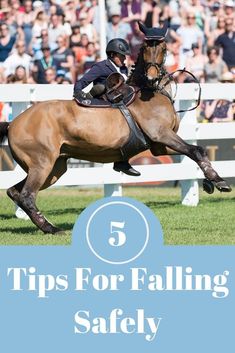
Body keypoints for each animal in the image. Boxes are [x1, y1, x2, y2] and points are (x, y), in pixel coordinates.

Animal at [0, 22, 231, 232]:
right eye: (145, 47)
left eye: (163, 48)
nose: (152, 77)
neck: (151, 92)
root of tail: (13, 123)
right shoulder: (162, 135)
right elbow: (196, 150)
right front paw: (219, 182)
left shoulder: (159, 145)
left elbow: (195, 152)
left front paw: (210, 181)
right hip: (42, 164)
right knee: (27, 195)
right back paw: (51, 228)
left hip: (55, 167)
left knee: (15, 192)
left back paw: (46, 225)